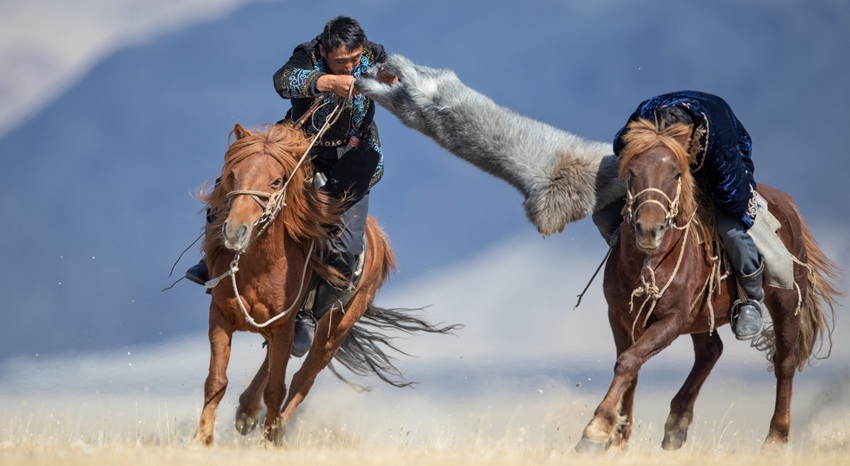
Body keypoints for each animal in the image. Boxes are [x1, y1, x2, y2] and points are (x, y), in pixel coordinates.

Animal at [191, 122, 457, 447]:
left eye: (276, 181)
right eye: (233, 174)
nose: (234, 231)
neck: (259, 267)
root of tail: (378, 237)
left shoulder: (284, 326)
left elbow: (278, 388)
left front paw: (269, 439)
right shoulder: (221, 316)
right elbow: (216, 380)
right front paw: (202, 439)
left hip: (335, 330)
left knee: (302, 380)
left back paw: (274, 429)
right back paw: (247, 412)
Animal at [575, 118, 841, 454]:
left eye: (676, 174)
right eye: (632, 172)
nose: (649, 229)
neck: (651, 261)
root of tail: (787, 206)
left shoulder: (672, 320)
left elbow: (629, 361)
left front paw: (596, 431)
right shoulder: (620, 318)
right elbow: (630, 367)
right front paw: (618, 436)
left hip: (786, 301)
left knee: (785, 362)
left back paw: (775, 439)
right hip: (702, 316)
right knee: (711, 351)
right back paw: (677, 424)